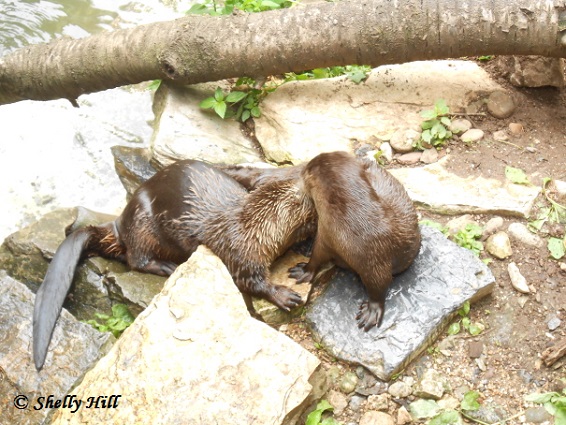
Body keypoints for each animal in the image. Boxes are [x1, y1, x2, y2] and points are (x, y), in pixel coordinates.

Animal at [34, 158, 320, 368]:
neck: (254, 229)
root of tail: (119, 224)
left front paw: (303, 246)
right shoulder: (240, 252)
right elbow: (249, 281)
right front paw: (284, 295)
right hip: (143, 225)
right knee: (135, 259)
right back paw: (166, 267)